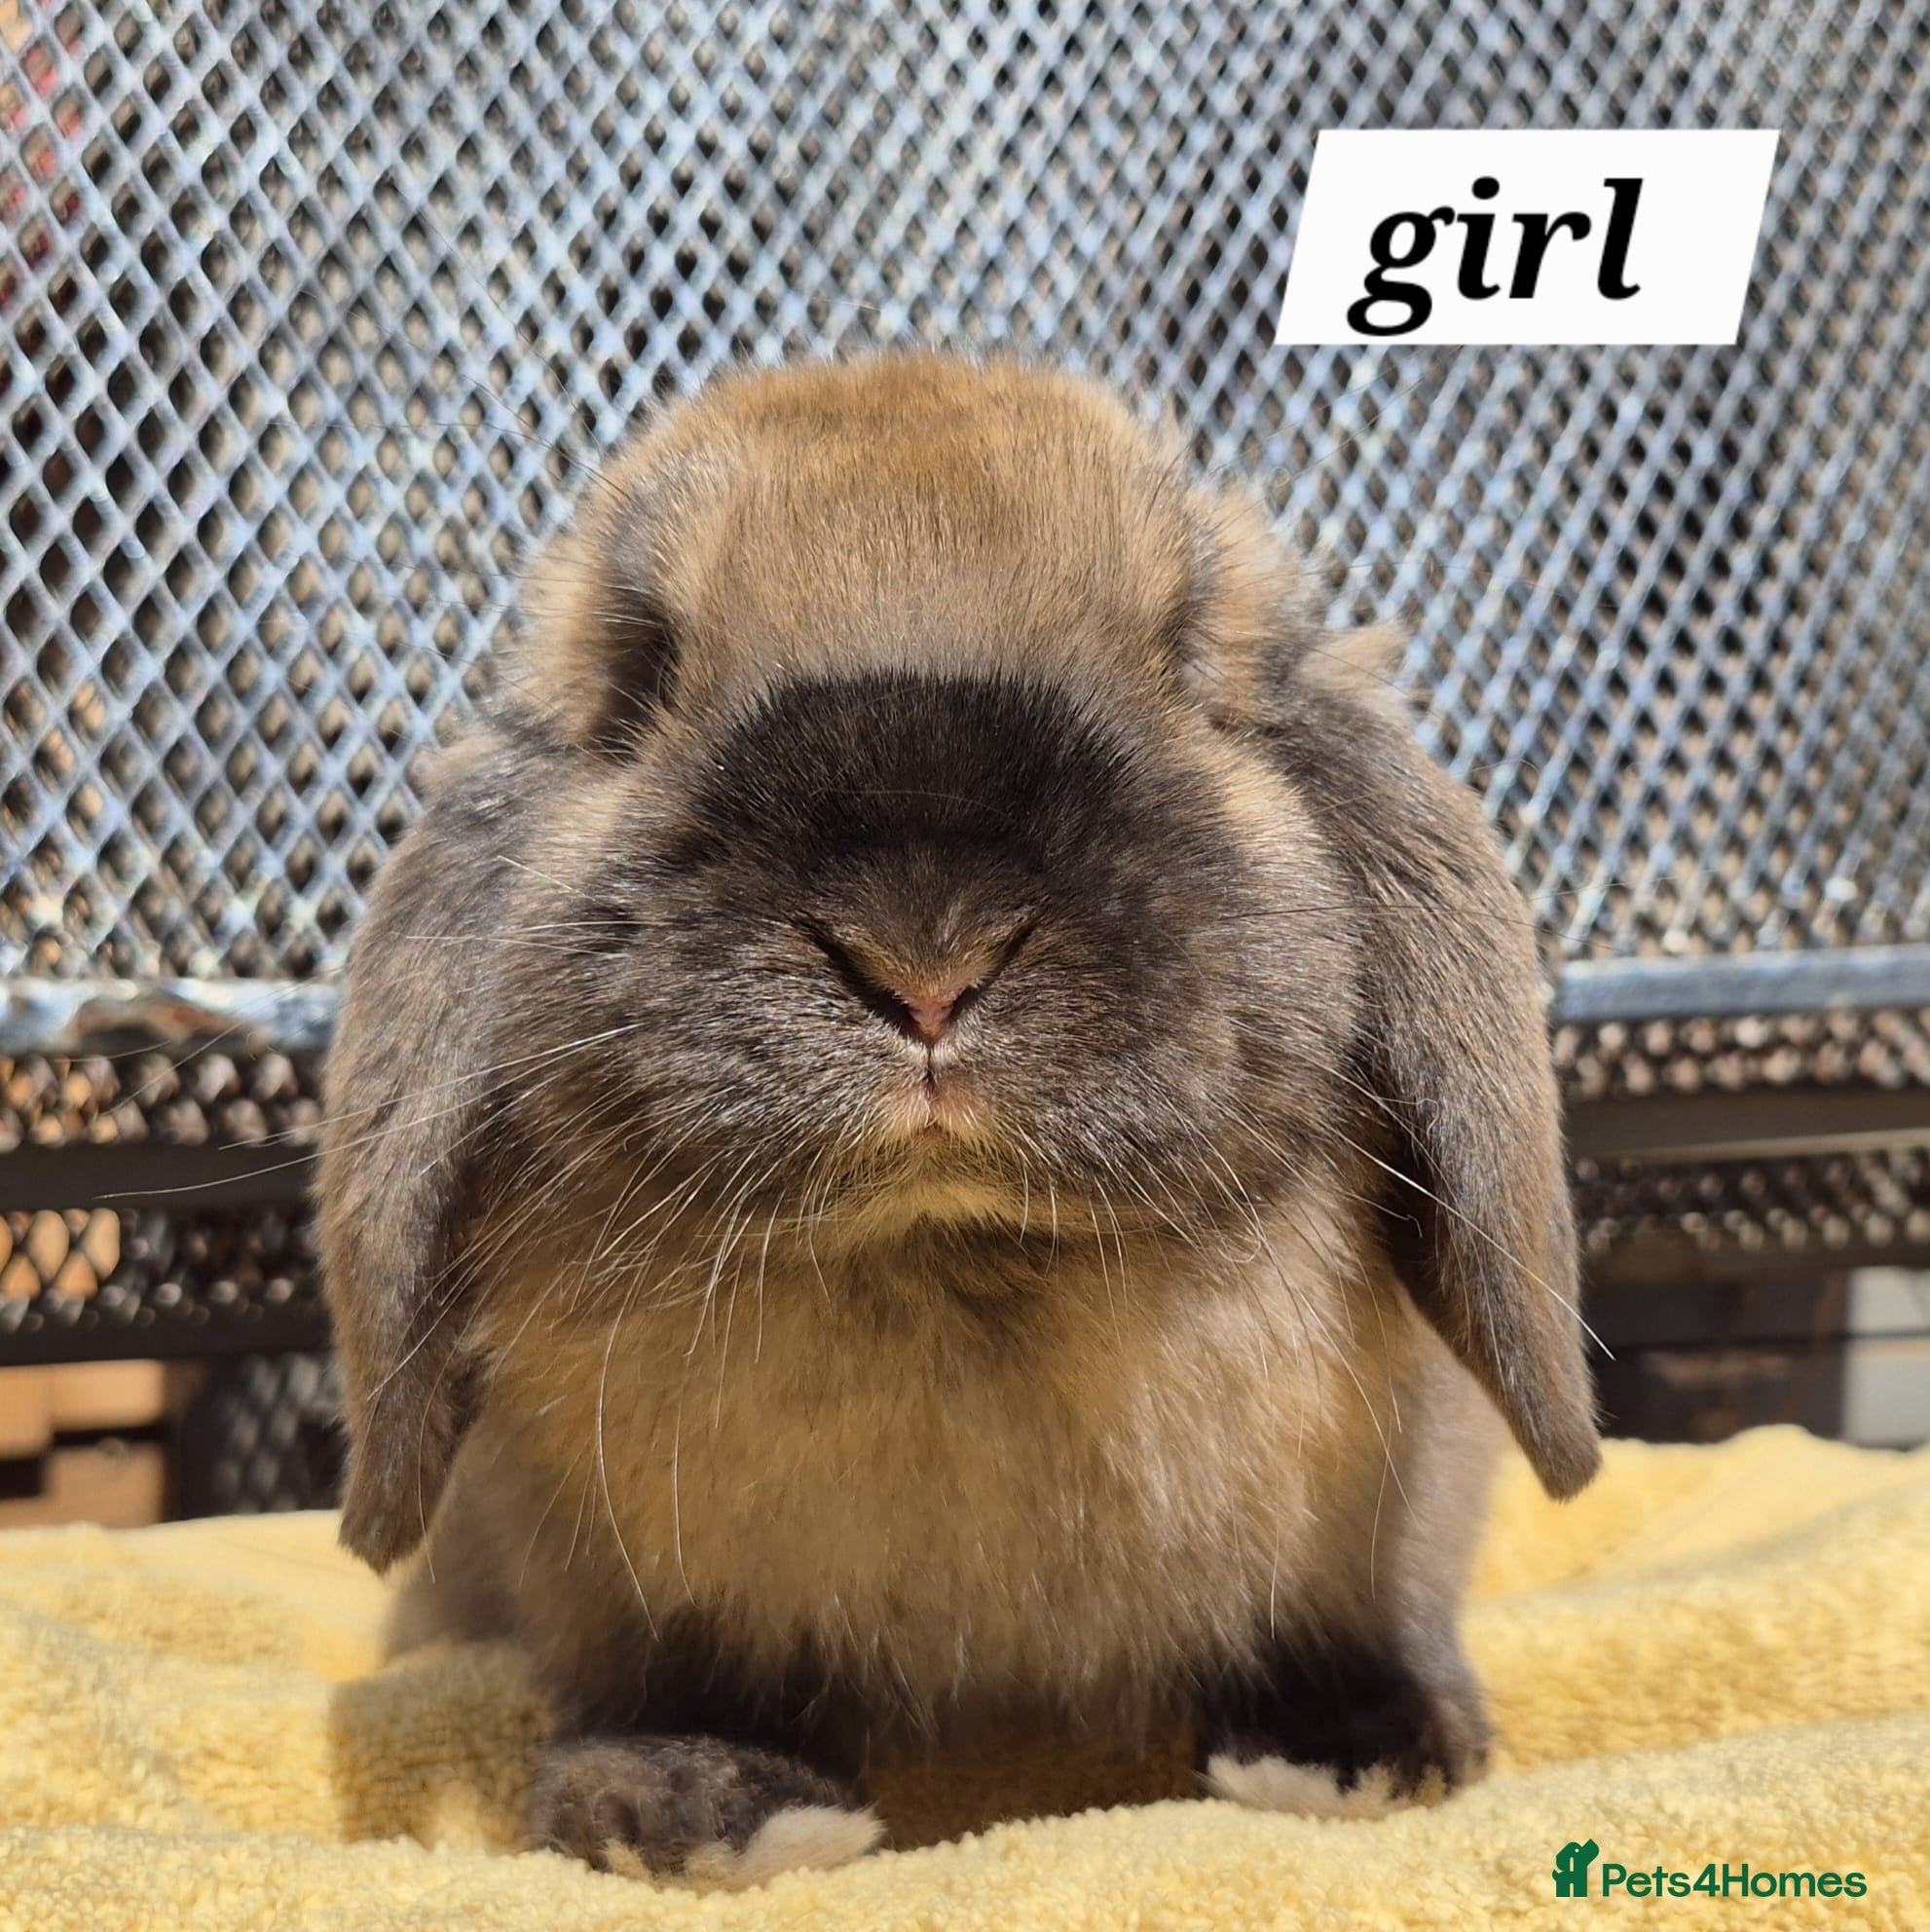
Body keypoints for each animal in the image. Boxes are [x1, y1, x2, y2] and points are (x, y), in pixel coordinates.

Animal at [319, 353, 1599, 1888]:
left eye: (1187, 652)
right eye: (638, 667)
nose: (923, 960)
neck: (951, 1253)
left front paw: (1358, 1753)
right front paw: (692, 1808)